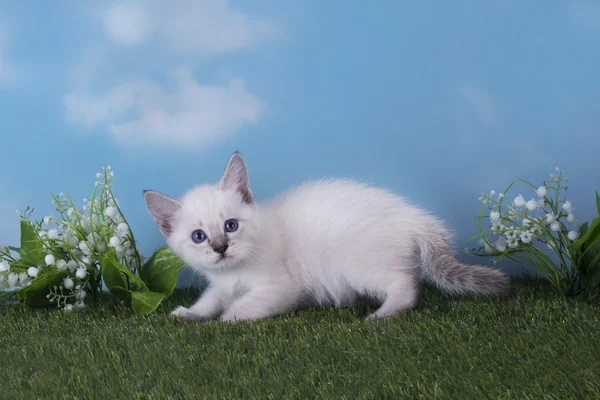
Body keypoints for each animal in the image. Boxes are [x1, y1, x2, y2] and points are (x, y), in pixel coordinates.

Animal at [143, 152, 508, 322]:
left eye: (231, 226)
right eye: (199, 236)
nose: (221, 247)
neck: (235, 272)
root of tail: (416, 218)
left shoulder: (280, 287)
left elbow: (239, 308)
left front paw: (225, 320)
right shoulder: (220, 285)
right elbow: (210, 301)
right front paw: (190, 314)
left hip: (356, 263)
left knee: (406, 286)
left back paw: (383, 313)